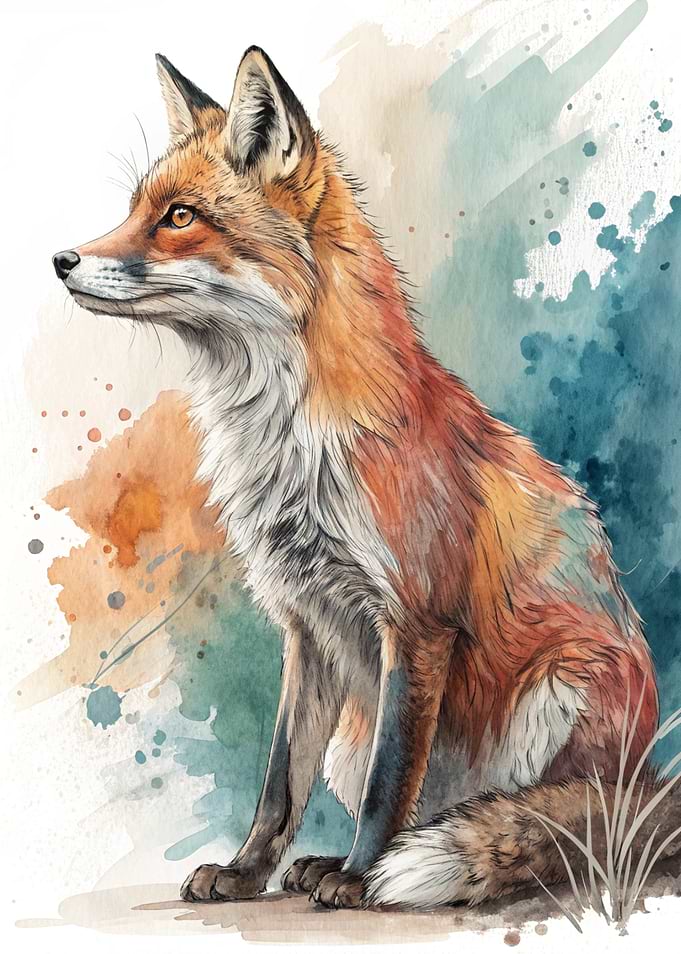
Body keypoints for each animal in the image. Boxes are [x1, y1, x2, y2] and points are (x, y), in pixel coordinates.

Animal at [52, 47, 679, 911]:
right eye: (135, 208)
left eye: (179, 216)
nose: (61, 260)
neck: (285, 440)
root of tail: (644, 783)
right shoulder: (304, 622)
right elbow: (279, 782)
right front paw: (248, 874)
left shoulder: (416, 621)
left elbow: (390, 782)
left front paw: (359, 878)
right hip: (356, 730)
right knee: (446, 805)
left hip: (556, 690)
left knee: (545, 822)